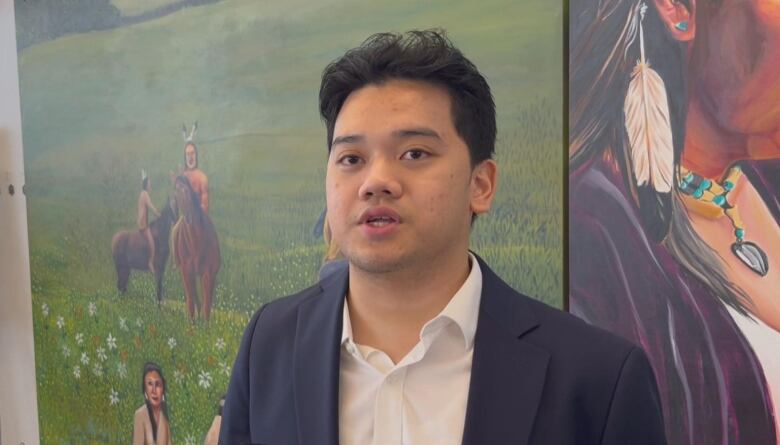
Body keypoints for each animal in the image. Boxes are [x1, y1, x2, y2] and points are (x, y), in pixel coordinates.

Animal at [171, 174, 219, 322]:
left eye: (187, 191)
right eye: (176, 192)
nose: (187, 218)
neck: (196, 243)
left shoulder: (208, 273)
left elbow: (207, 305)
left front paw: (206, 326)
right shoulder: (187, 272)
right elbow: (191, 302)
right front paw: (191, 325)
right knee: (194, 298)